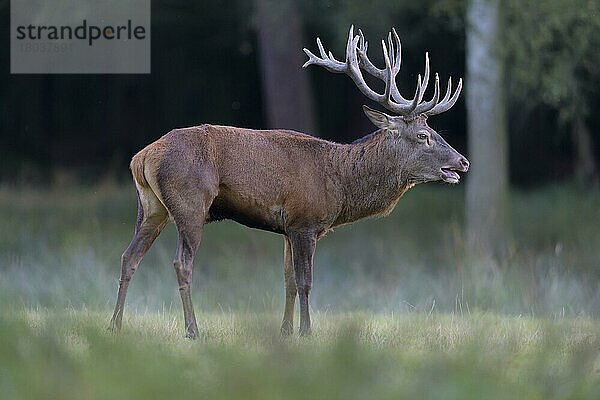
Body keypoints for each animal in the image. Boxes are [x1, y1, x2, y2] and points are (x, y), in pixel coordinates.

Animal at [110, 25, 472, 338]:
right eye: (423, 136)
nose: (462, 162)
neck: (339, 182)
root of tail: (141, 157)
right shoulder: (304, 222)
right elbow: (305, 281)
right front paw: (307, 332)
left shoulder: (286, 228)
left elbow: (287, 281)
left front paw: (285, 331)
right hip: (190, 203)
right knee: (181, 263)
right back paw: (192, 331)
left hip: (152, 206)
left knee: (129, 257)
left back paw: (115, 325)